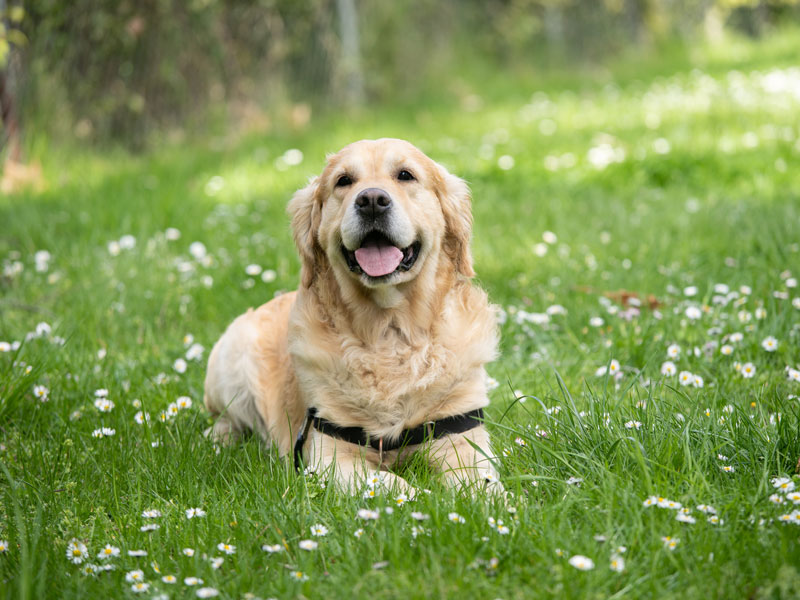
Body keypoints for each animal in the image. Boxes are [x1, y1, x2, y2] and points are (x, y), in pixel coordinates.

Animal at [205, 139, 500, 492]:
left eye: (405, 175)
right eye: (343, 181)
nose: (372, 200)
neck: (389, 332)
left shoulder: (461, 437)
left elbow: (482, 484)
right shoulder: (330, 456)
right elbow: (395, 484)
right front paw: (425, 497)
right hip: (231, 358)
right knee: (225, 419)